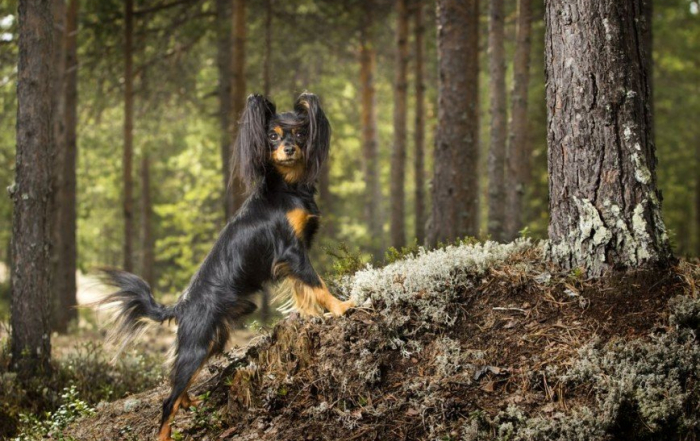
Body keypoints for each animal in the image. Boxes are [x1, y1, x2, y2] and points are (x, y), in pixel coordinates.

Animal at [98, 91, 356, 438]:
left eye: (301, 133)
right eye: (272, 136)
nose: (289, 149)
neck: (287, 188)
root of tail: (180, 306)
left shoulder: (296, 254)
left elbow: (303, 289)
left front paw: (311, 315)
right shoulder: (292, 251)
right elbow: (317, 283)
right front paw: (341, 308)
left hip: (212, 341)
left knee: (177, 388)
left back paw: (188, 401)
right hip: (197, 344)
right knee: (167, 402)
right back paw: (167, 430)